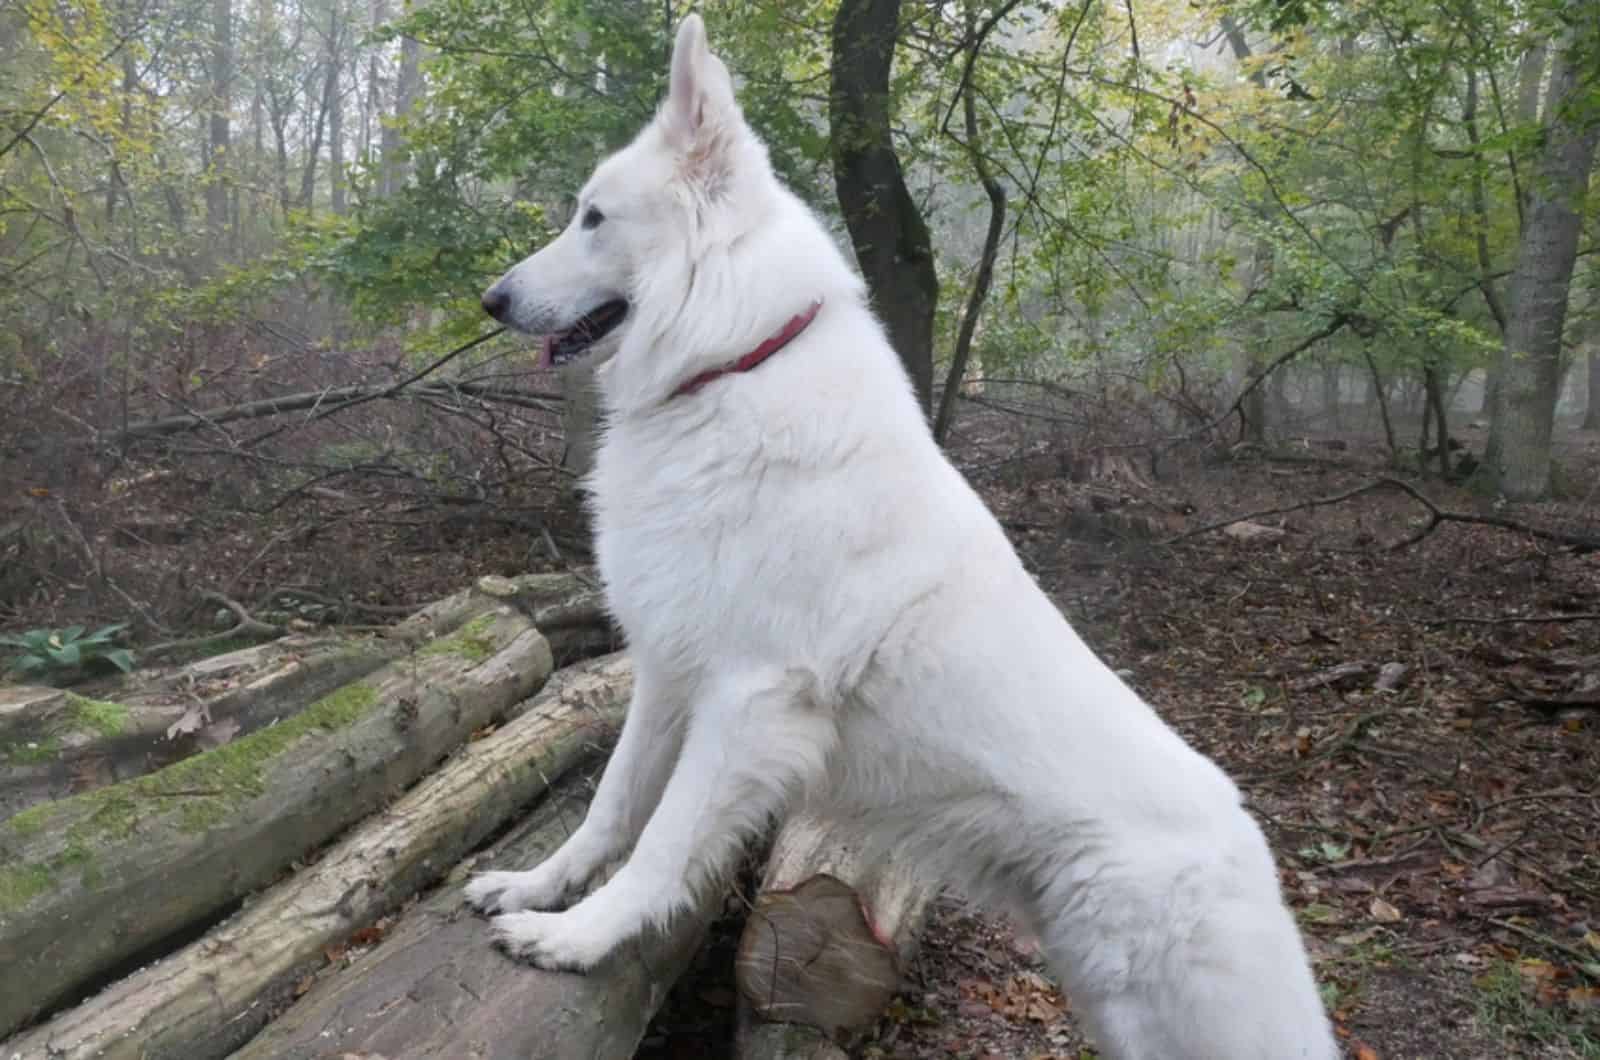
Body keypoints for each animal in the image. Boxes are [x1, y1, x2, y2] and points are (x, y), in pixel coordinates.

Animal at [467, 18, 1337, 1060]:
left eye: (593, 218)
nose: (489, 299)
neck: (735, 363)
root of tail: (1253, 850)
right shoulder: (670, 676)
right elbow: (610, 808)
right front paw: (539, 888)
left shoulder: (749, 702)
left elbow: (665, 844)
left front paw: (579, 939)